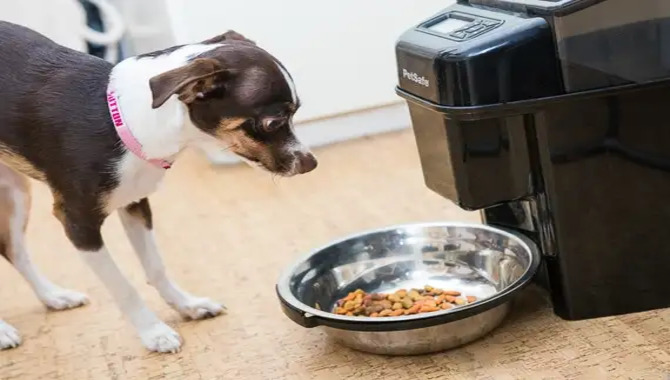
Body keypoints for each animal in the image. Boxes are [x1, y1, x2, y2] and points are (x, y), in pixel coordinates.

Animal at [0, 21, 318, 354]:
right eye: (273, 123)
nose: (311, 162)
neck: (119, 120)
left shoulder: (135, 203)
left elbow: (155, 266)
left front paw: (187, 305)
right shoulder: (78, 224)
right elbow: (123, 287)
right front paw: (153, 332)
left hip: (15, 191)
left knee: (13, 250)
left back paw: (54, 297)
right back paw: (4, 331)